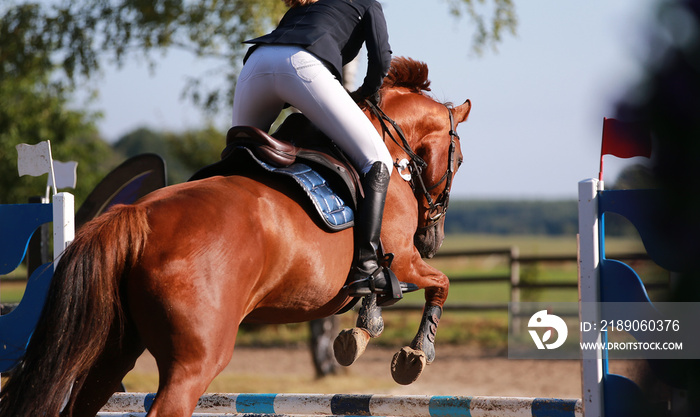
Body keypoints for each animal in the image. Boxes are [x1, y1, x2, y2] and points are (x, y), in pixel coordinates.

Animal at [0, 56, 474, 416]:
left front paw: (360, 332)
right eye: (460, 161)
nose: (433, 238)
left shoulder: (393, 263)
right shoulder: (405, 259)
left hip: (113, 349)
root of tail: (137, 217)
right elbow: (440, 283)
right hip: (196, 359)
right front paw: (415, 354)